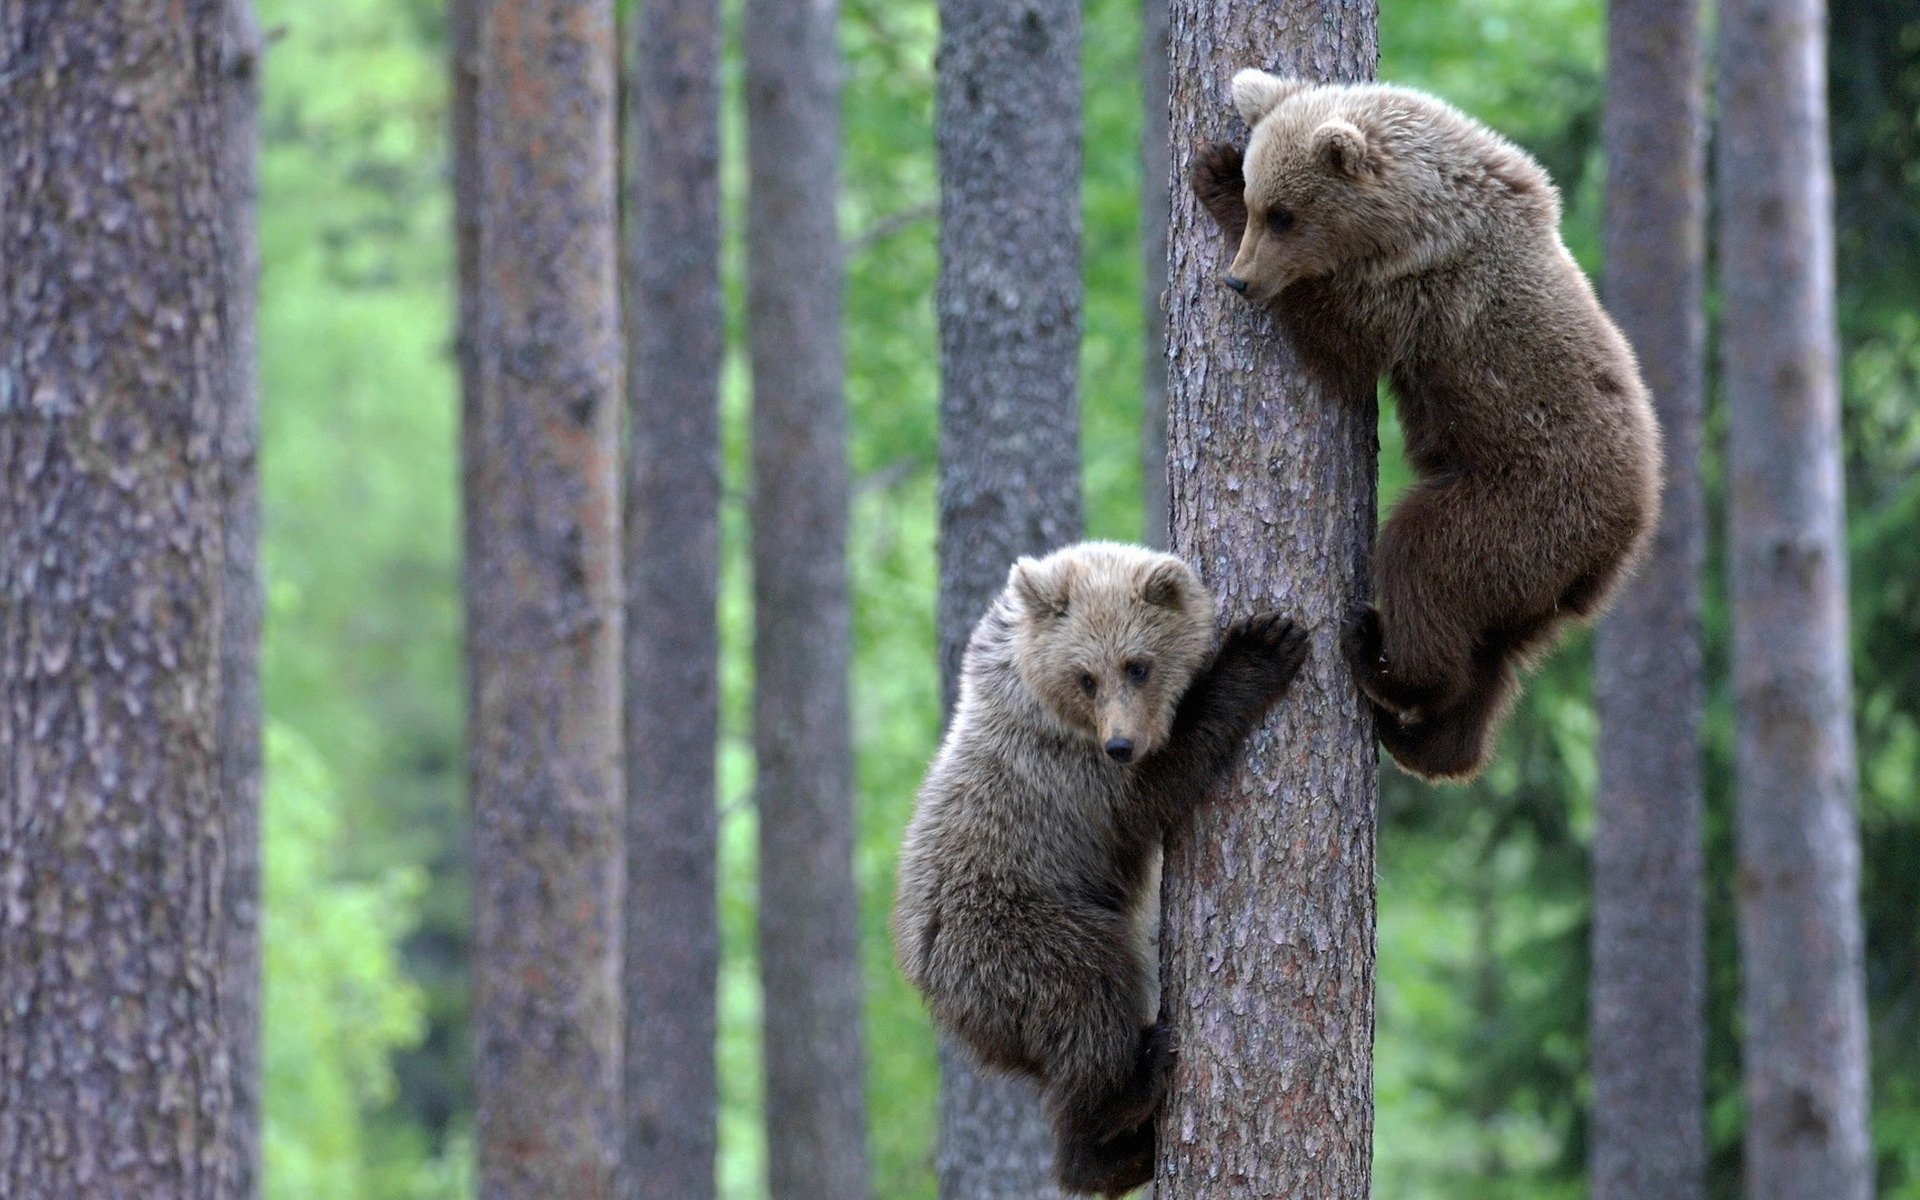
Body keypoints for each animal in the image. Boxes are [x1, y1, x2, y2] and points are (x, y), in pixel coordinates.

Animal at [891, 541, 1309, 1196]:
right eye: (1086, 676)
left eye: (1137, 665)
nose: (1120, 744)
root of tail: (926, 976)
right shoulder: (1073, 778)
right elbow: (1163, 781)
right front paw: (1261, 646)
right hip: (1016, 933)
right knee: (1090, 992)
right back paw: (1125, 1101)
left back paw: (1126, 1151)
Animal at [1190, 69, 1662, 782]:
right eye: (1260, 201)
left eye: (1281, 213)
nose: (1239, 280)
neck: (1416, 216)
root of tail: (1627, 533)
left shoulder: (1421, 297)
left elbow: (1342, 347)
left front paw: (1211, 173)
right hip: (1538, 581)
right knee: (1494, 654)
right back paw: (1430, 740)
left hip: (1523, 505)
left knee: (1423, 561)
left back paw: (1379, 659)